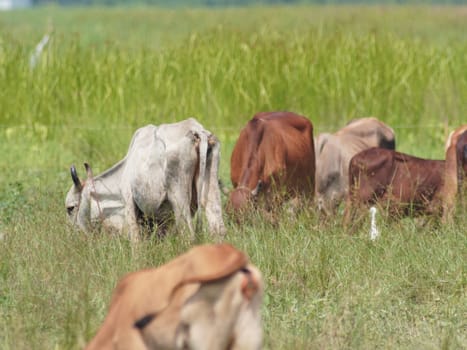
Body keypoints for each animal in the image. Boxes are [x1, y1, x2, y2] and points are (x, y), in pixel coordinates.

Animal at [65, 117, 225, 241]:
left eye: (70, 208)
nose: (74, 235)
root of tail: (196, 130)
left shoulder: (129, 202)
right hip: (210, 190)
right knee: (217, 228)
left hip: (179, 199)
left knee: (188, 234)